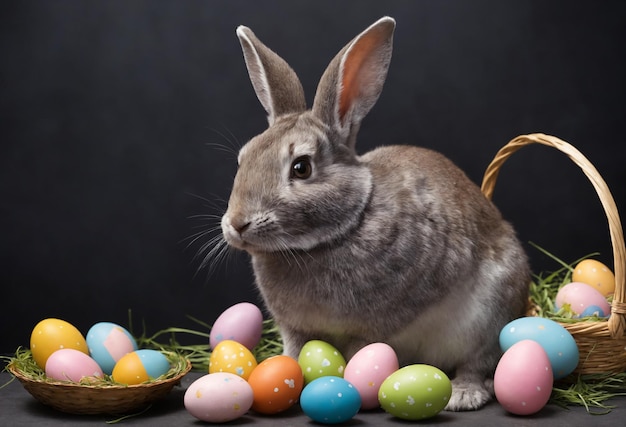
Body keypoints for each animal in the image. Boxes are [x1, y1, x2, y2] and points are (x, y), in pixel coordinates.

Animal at [219, 16, 528, 412]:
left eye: (301, 168)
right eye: (242, 158)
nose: (237, 224)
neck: (338, 232)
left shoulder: (380, 323)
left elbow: (360, 352)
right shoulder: (296, 329)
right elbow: (296, 353)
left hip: (489, 317)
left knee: (479, 364)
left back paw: (463, 394)